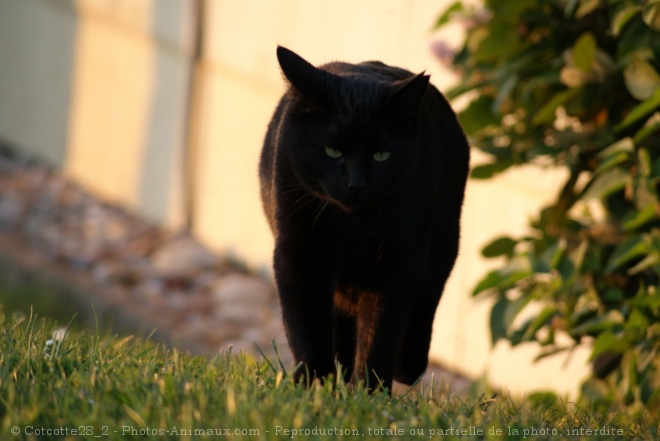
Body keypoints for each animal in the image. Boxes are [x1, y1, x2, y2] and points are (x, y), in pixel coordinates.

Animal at [258, 46, 470, 392]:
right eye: (331, 151)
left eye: (381, 155)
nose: (355, 184)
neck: (351, 227)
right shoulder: (300, 255)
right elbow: (306, 327)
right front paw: (313, 386)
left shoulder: (398, 262)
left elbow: (379, 334)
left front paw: (369, 392)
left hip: (444, 248)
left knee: (424, 305)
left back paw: (406, 369)